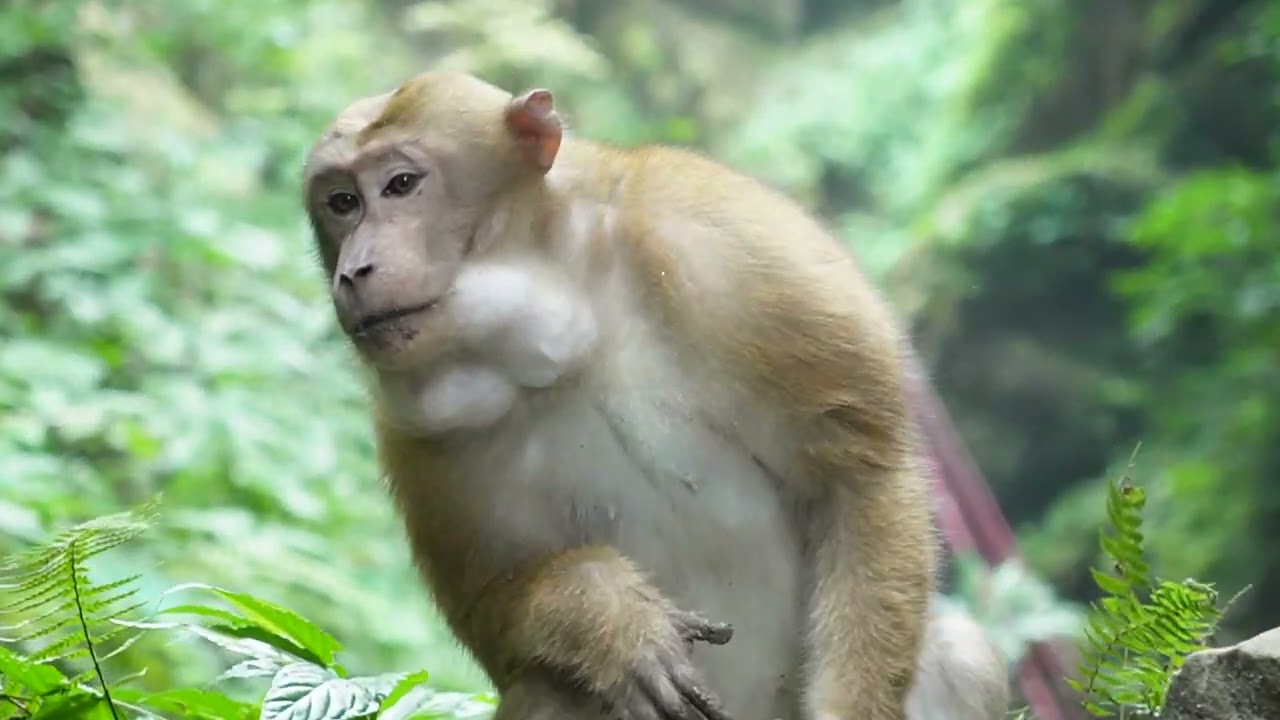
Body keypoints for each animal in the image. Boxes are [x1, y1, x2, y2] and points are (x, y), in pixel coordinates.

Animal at [301, 71, 1010, 720]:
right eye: (342, 203)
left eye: (400, 185)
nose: (354, 271)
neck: (572, 311)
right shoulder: (410, 431)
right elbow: (487, 612)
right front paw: (607, 616)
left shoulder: (735, 251)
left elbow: (860, 474)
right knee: (547, 691)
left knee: (960, 657)